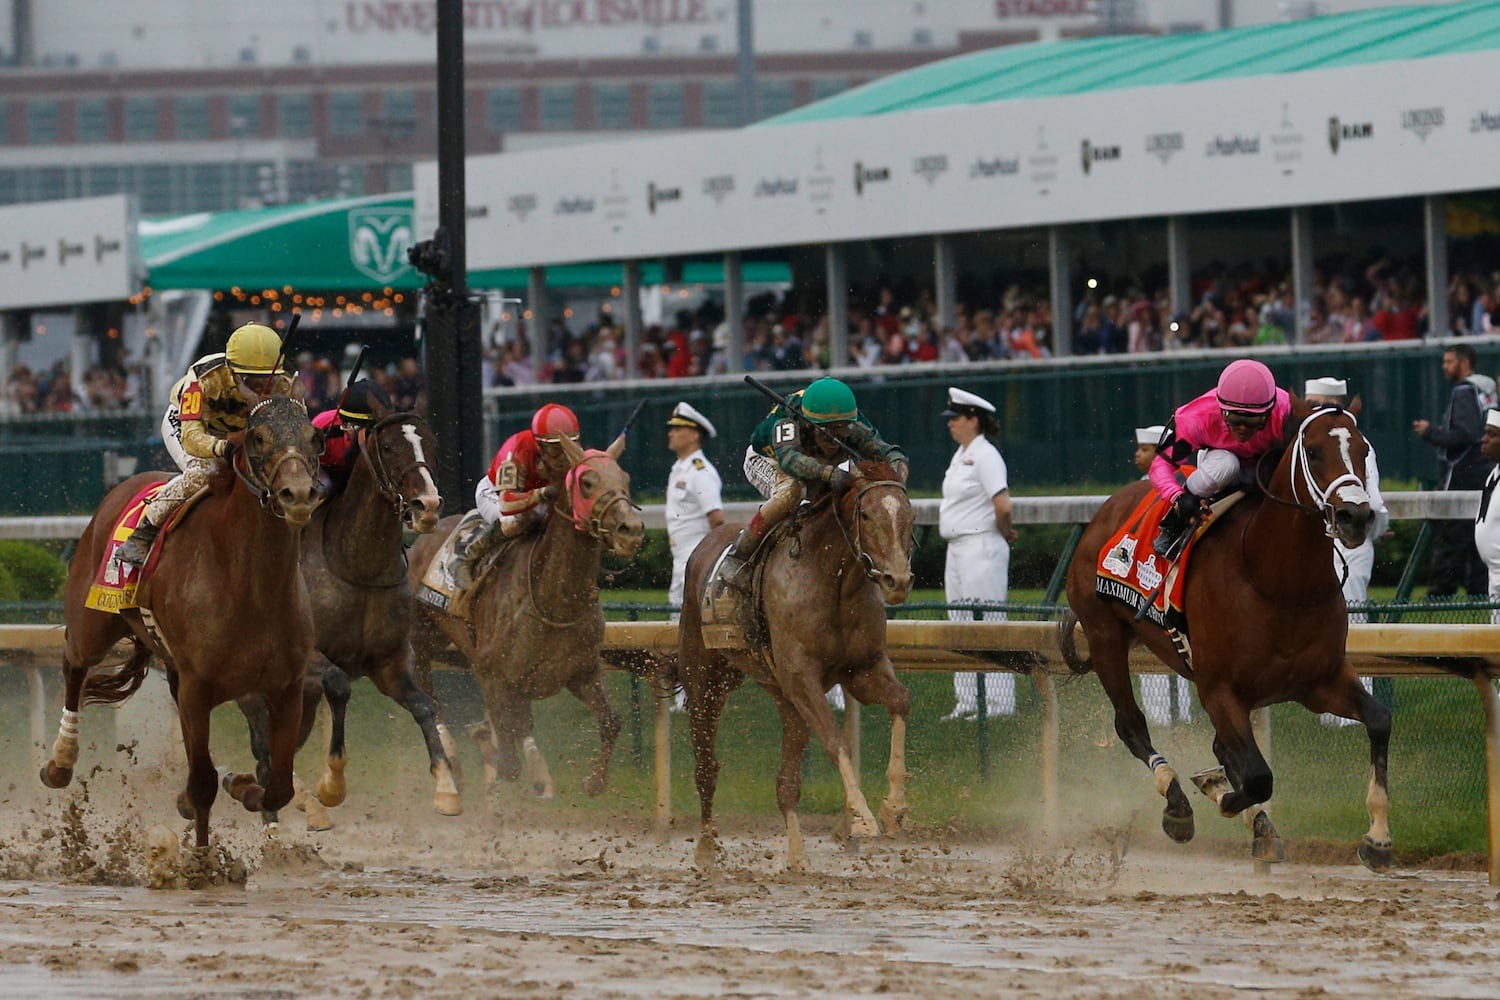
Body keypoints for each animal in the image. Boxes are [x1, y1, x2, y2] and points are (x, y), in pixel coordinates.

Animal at [43, 395, 322, 851]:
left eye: (314, 437)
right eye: (258, 437)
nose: (297, 494)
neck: (250, 586)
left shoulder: (286, 687)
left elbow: (278, 784)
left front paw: (242, 787)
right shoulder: (198, 687)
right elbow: (204, 782)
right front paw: (202, 859)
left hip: (171, 668)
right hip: (93, 624)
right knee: (74, 666)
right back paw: (60, 762)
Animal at [234, 407, 453, 827]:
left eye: (432, 442)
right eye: (389, 446)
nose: (428, 504)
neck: (358, 567)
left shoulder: (389, 661)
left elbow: (424, 706)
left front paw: (446, 787)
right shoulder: (306, 661)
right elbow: (338, 685)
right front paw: (331, 785)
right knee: (263, 750)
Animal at [411, 434, 645, 803]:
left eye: (626, 479)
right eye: (587, 482)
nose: (631, 530)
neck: (555, 602)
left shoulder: (581, 672)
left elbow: (611, 721)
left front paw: (594, 782)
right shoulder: (491, 673)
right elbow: (507, 759)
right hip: (420, 638)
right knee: (428, 696)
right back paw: (453, 762)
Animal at [678, 458, 912, 869]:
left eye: (909, 515)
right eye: (866, 515)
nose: (897, 579)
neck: (834, 579)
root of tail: (703, 546)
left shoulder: (862, 669)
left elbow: (899, 701)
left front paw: (894, 807)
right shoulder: (803, 678)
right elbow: (837, 740)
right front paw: (861, 819)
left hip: (781, 694)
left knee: (786, 782)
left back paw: (798, 859)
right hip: (705, 678)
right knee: (706, 765)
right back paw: (706, 847)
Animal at [1062, 395, 1386, 869]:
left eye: (1364, 450)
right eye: (1313, 452)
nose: (1354, 516)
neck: (1275, 580)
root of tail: (1109, 507)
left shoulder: (1319, 681)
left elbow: (1379, 720)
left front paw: (1377, 838)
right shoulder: (1218, 689)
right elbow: (1257, 777)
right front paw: (1216, 794)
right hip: (1104, 636)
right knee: (1130, 723)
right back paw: (1177, 803)